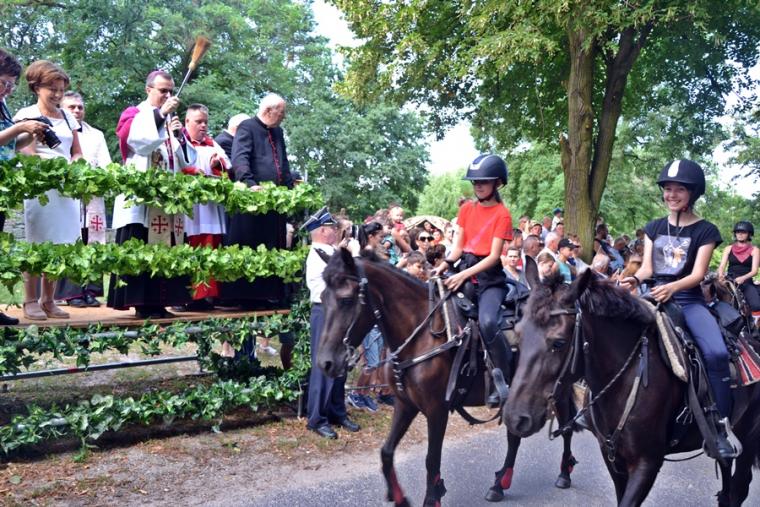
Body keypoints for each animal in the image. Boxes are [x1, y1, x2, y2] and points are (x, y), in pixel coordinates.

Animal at [316, 248, 579, 507]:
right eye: (322, 298)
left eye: (346, 300)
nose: (325, 363)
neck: (422, 334)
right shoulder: (405, 404)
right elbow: (387, 452)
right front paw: (400, 497)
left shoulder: (436, 410)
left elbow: (432, 459)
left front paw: (432, 498)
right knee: (515, 437)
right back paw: (499, 485)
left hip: (558, 390)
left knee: (566, 427)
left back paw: (564, 474)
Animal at [506, 257, 760, 506]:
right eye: (518, 334)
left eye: (558, 342)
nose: (516, 418)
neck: (623, 380)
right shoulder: (613, 458)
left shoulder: (647, 463)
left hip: (748, 436)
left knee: (739, 487)